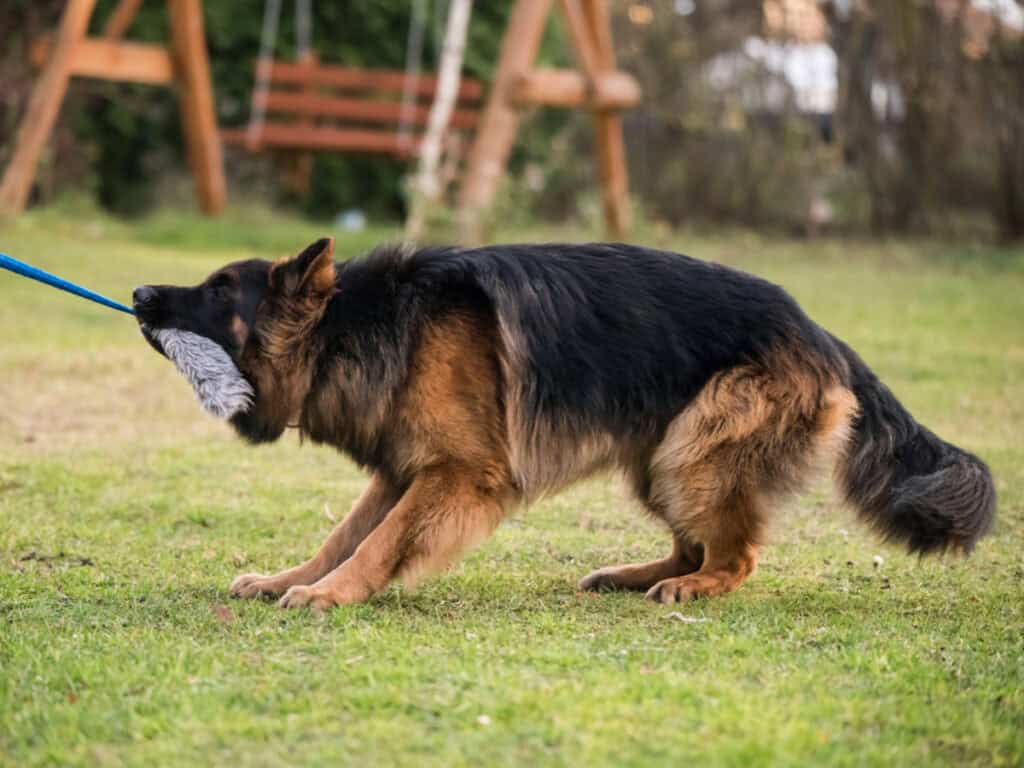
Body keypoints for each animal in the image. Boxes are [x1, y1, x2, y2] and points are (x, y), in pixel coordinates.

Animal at [132, 237, 995, 610]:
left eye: (218, 291)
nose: (138, 292)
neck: (363, 325)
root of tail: (821, 332)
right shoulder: (404, 470)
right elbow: (343, 535)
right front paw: (292, 580)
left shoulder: (456, 475)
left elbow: (377, 544)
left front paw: (330, 596)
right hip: (659, 457)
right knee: (693, 539)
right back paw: (635, 575)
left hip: (695, 448)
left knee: (736, 555)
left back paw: (694, 586)